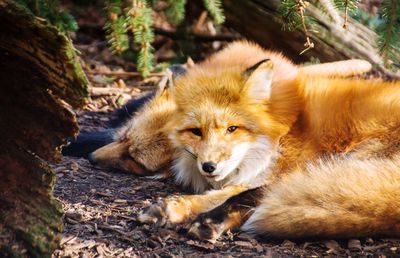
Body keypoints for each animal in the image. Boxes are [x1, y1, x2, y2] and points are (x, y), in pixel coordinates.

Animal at [137, 41, 400, 242]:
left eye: (232, 129)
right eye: (196, 131)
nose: (209, 167)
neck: (281, 132)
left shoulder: (281, 169)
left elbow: (224, 195)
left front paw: (180, 208)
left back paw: (212, 221)